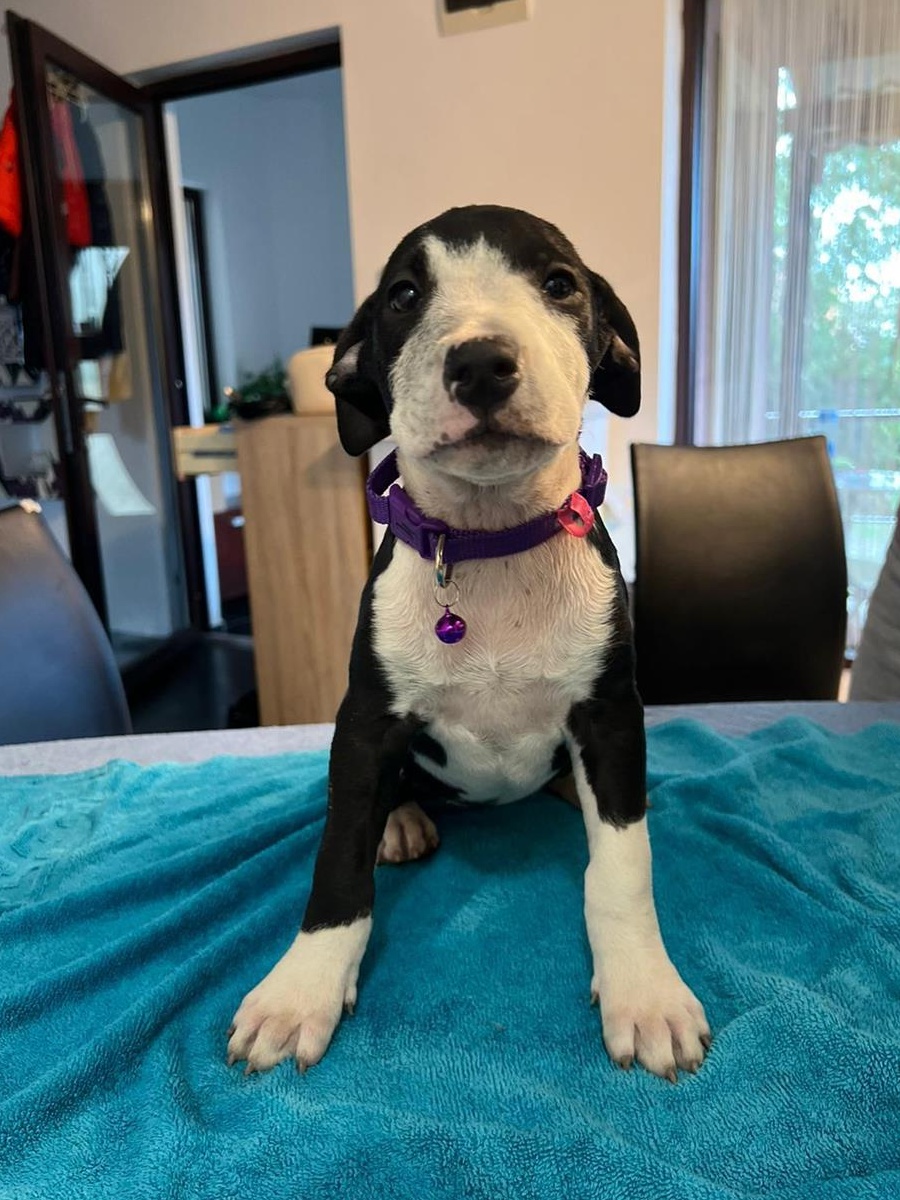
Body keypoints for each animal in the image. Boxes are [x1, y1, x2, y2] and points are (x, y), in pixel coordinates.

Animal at [227, 205, 710, 1081]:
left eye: (559, 283)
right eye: (403, 296)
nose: (481, 362)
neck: (489, 543)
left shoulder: (611, 714)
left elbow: (622, 868)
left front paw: (645, 991)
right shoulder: (365, 722)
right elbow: (336, 859)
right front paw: (300, 990)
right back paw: (400, 820)